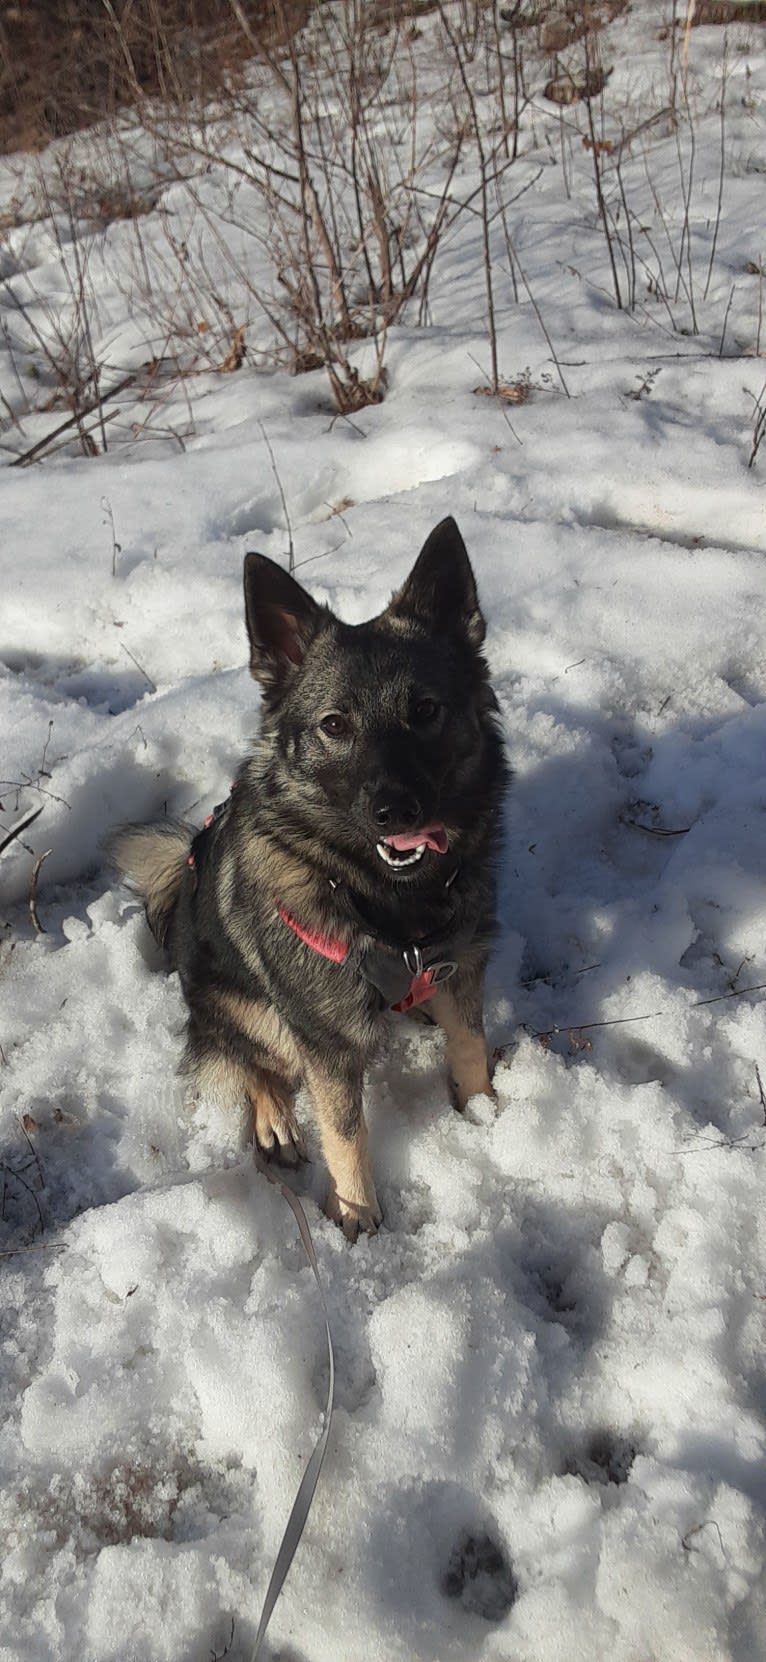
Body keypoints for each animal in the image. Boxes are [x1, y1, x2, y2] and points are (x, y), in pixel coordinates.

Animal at [105, 515, 501, 1236]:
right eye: (334, 725)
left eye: (425, 710)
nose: (395, 809)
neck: (387, 901)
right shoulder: (325, 1041)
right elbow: (345, 1130)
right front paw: (356, 1214)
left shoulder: (462, 969)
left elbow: (468, 1046)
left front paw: (486, 1115)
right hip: (251, 1009)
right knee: (248, 1062)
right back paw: (276, 1125)